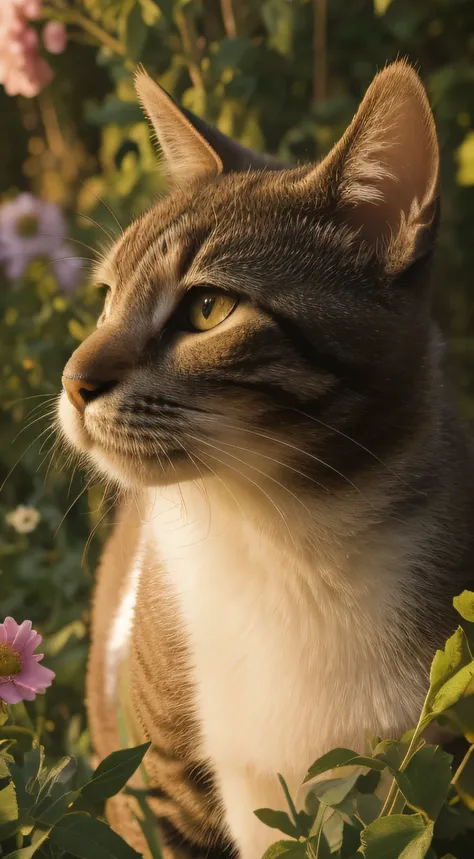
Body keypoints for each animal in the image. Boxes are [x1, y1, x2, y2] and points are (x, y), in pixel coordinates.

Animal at [59, 62, 474, 859]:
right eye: (107, 299)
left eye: (208, 310)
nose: (72, 380)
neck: (283, 536)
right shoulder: (161, 779)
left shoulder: (430, 777)